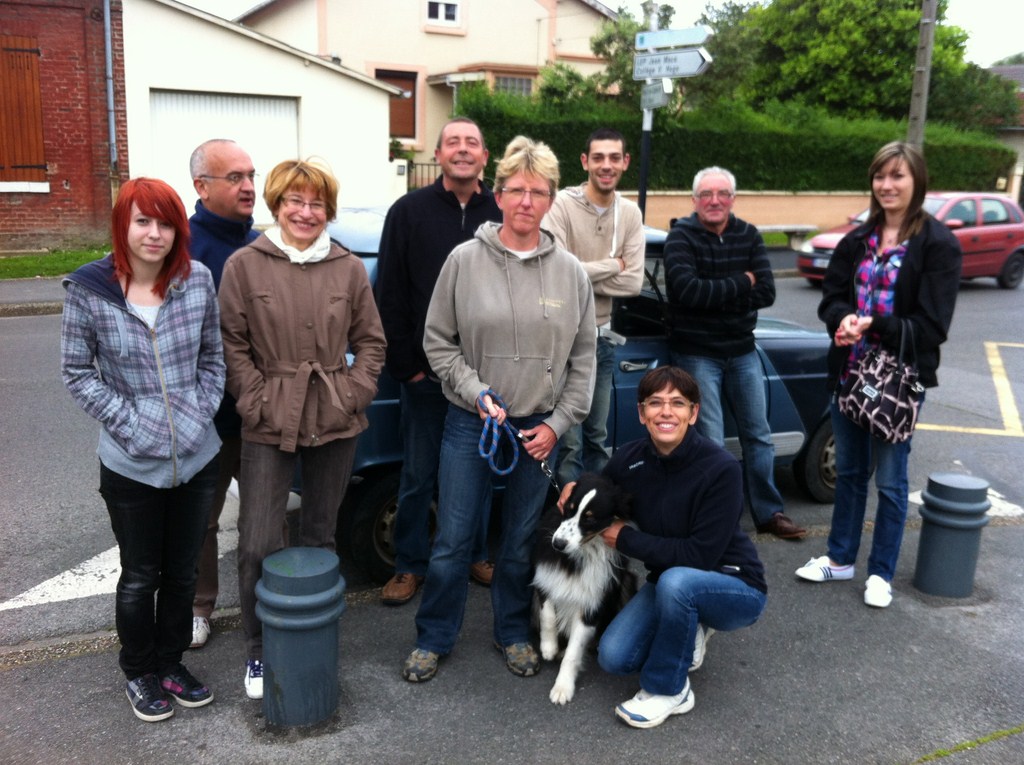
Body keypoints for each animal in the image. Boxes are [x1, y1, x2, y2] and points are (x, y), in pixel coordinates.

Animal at [532, 473, 634, 704]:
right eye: (569, 508)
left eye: (590, 518)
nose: (558, 544)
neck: (583, 552)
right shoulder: (546, 576)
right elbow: (548, 615)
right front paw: (549, 647)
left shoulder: (591, 605)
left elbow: (573, 651)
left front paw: (562, 688)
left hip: (627, 581)